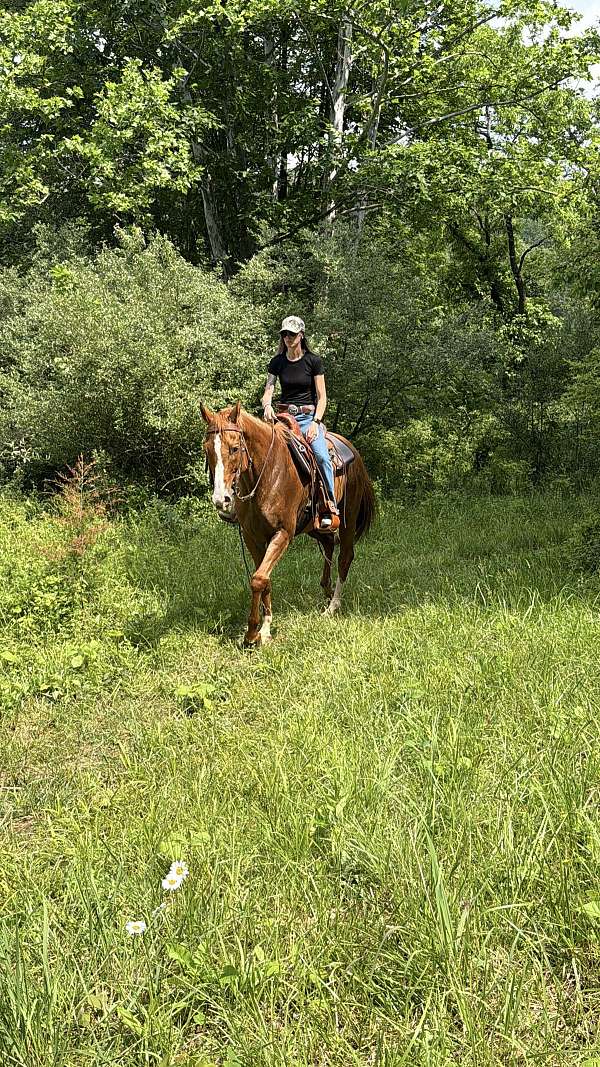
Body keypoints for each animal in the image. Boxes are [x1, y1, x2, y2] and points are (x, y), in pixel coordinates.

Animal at [201, 401, 375, 645]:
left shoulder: (282, 534)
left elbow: (258, 579)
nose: (221, 499)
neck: (265, 474)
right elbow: (263, 578)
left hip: (348, 519)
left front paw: (251, 633)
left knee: (345, 556)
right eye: (207, 450)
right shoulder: (253, 538)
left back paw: (332, 606)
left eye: (234, 448)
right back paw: (326, 590)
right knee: (328, 544)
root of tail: (353, 450)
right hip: (314, 525)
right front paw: (265, 628)